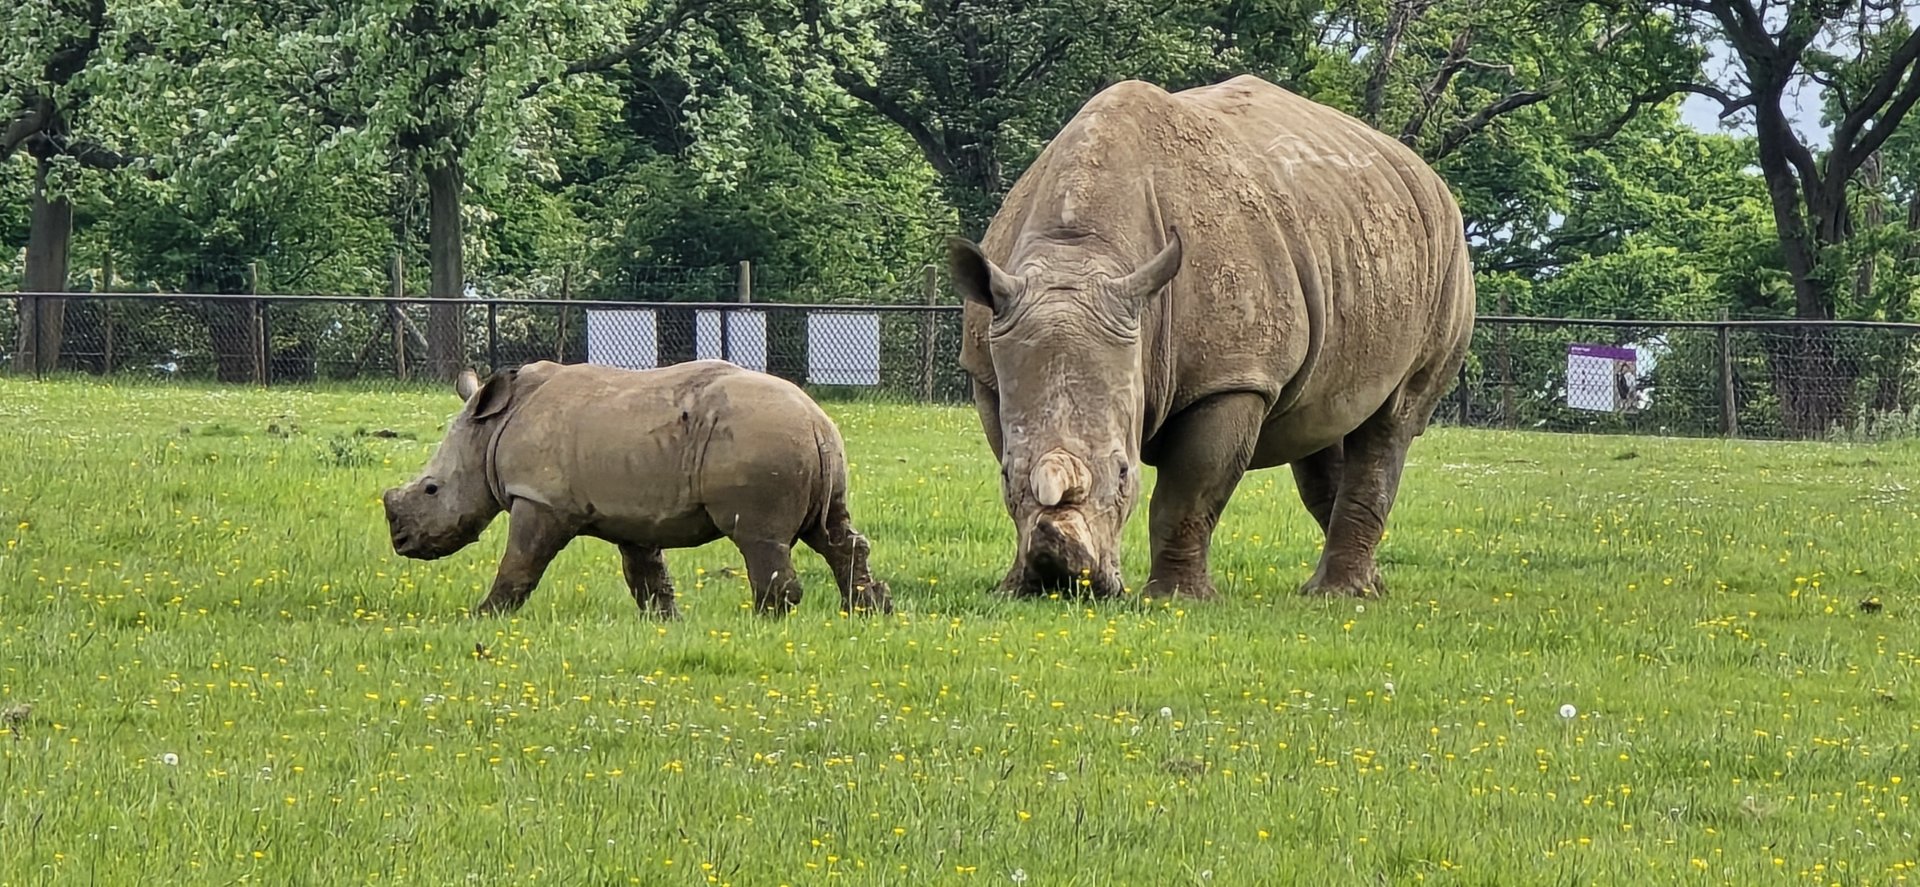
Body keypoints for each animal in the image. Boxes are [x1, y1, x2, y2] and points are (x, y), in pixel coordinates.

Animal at [380, 360, 893, 617]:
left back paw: (764, 620)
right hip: (812, 446)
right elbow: (645, 574)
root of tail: (815, 421)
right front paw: (664, 623)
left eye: (431, 490)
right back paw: (869, 611)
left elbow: (521, 562)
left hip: (760, 439)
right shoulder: (634, 512)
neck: (487, 433)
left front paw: (484, 615)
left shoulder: (539, 498)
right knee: (832, 532)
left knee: (757, 537)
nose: (401, 543)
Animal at [949, 74, 1475, 600]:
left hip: (1448, 250)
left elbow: (1188, 493)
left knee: (1393, 420)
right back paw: (1366, 588)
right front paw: (1012, 585)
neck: (1078, 255)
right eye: (1004, 476)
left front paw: (1174, 599)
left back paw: (1339, 595)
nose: (1061, 581)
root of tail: (1423, 171)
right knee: (1322, 422)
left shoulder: (1232, 375)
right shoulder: (989, 370)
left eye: (1124, 474)